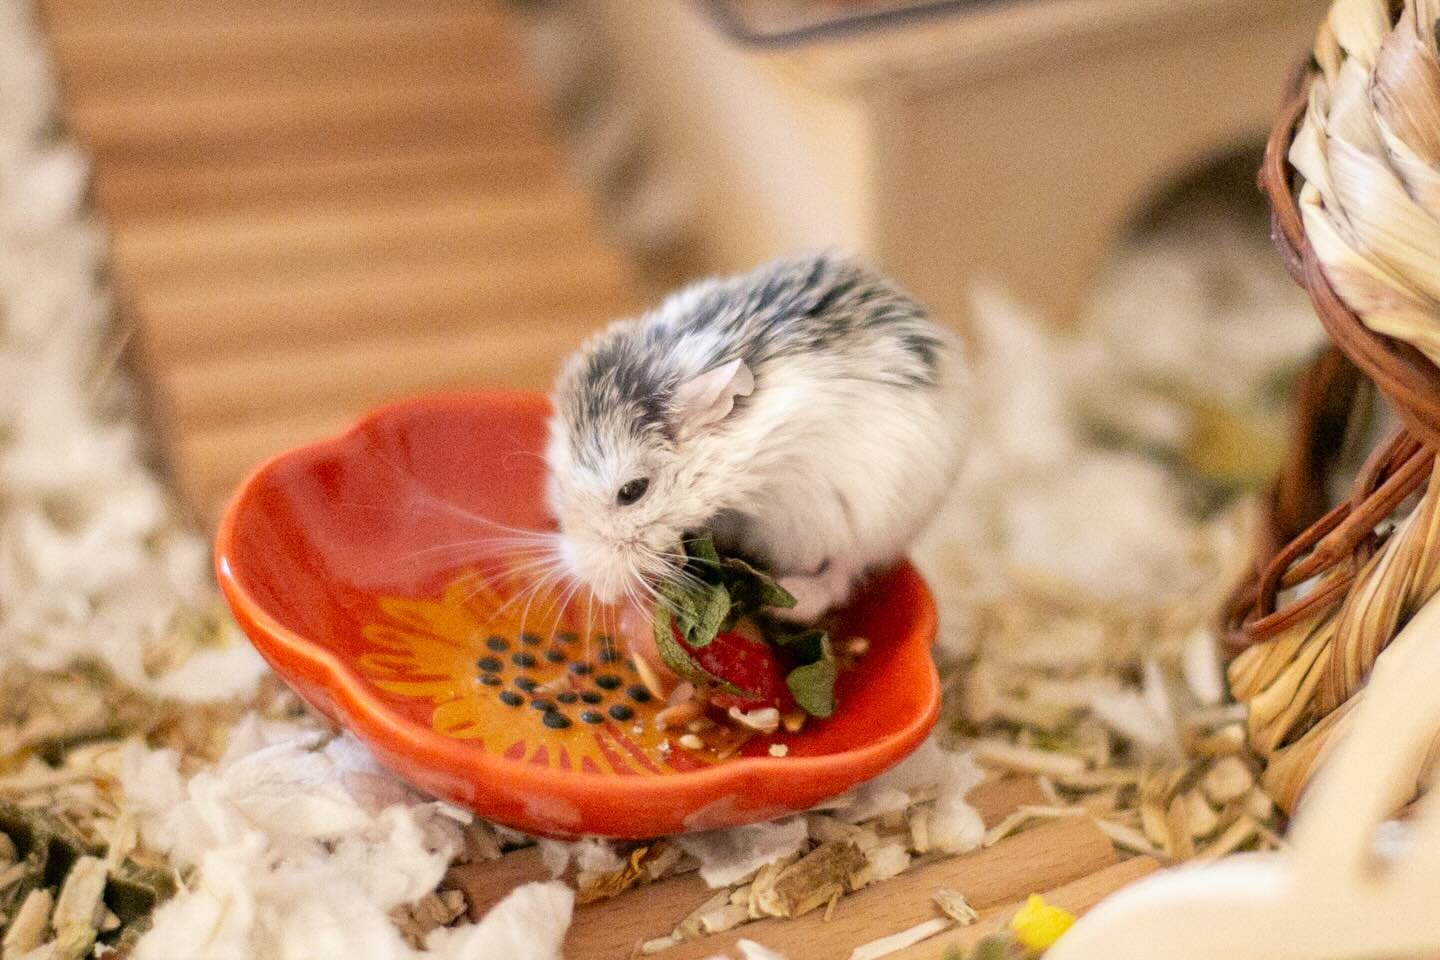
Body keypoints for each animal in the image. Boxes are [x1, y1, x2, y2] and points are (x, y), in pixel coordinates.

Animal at [545, 251, 970, 623]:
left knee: (842, 573)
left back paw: (786, 604)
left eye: (632, 492)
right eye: (559, 482)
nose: (595, 588)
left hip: (875, 521)